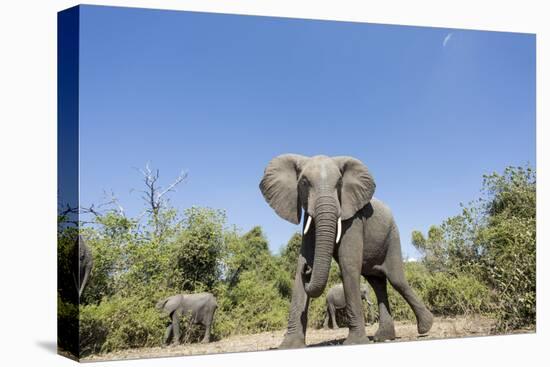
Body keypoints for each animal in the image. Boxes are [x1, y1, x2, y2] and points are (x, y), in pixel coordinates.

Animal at [260, 155, 436, 348]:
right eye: (304, 182)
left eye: (339, 183)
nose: (309, 269)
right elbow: (300, 267)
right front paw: (289, 346)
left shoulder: (354, 219)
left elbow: (348, 265)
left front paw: (355, 342)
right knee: (378, 283)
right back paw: (383, 337)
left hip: (392, 235)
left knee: (396, 280)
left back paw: (425, 328)